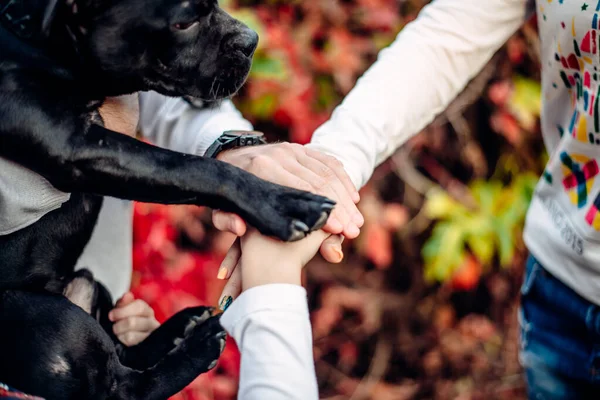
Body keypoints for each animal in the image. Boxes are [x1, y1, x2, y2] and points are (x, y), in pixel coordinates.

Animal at [0, 0, 336, 398]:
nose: (251, 40)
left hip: (88, 286)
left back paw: (180, 328)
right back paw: (199, 345)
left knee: (123, 352)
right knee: (127, 387)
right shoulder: (79, 147)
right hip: (49, 318)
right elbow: (188, 168)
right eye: (184, 23)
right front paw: (282, 203)